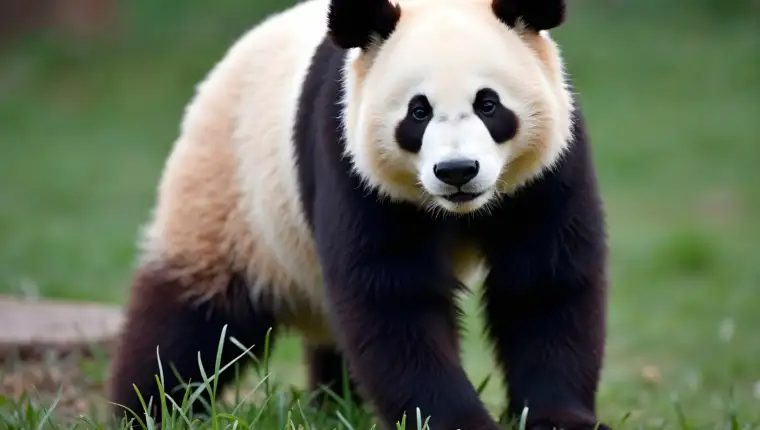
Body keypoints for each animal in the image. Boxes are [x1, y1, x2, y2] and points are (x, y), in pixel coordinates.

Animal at [108, 0, 610, 429]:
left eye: (488, 104)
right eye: (418, 112)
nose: (457, 171)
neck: (458, 211)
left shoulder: (549, 170)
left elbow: (543, 285)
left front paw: (561, 419)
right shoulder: (351, 160)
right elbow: (392, 297)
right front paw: (460, 423)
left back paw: (335, 404)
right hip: (231, 194)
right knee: (192, 318)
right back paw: (147, 409)